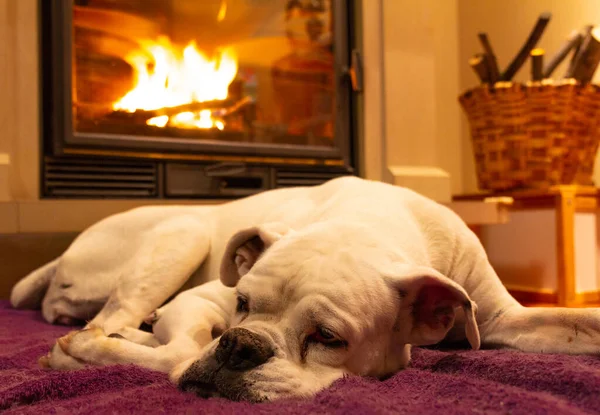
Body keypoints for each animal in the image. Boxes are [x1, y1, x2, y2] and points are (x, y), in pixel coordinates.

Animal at [10, 176, 600, 404]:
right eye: (243, 303)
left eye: (328, 337)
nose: (240, 345)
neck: (372, 224)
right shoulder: (203, 302)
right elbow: (177, 353)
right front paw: (88, 356)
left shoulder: (502, 319)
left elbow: (579, 323)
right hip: (185, 232)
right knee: (103, 321)